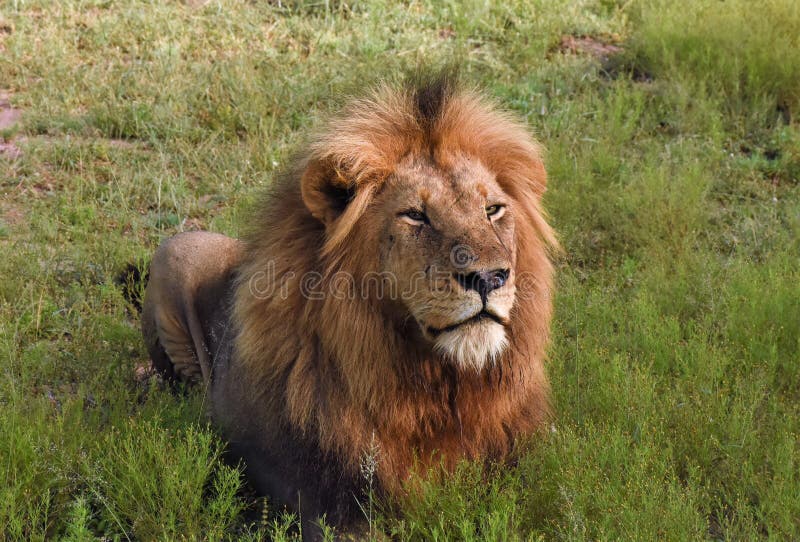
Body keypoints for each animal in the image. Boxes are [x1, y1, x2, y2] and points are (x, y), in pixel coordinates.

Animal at [141, 73, 556, 537]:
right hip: (176, 251)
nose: (488, 278)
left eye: (493, 210)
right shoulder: (330, 501)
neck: (436, 387)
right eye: (415, 215)